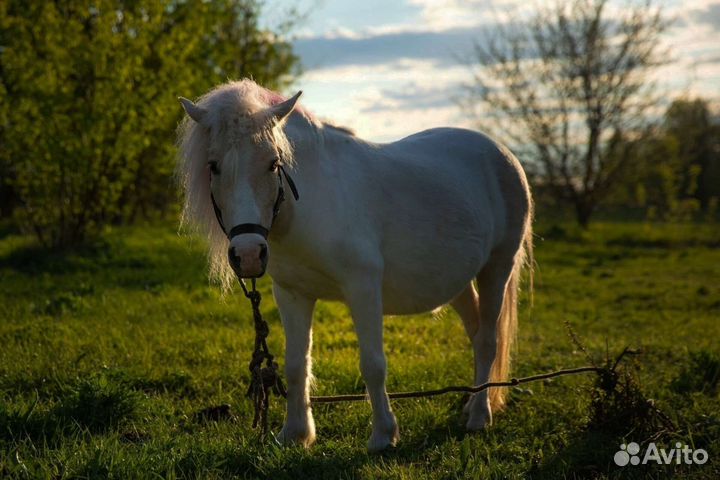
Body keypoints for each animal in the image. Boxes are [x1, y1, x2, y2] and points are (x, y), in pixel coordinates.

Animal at [176, 79, 533, 452]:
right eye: (213, 166)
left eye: (273, 163)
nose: (248, 254)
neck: (313, 203)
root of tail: (502, 153)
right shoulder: (291, 294)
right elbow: (295, 365)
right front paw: (295, 434)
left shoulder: (363, 288)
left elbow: (373, 364)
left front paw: (383, 435)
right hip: (458, 282)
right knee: (477, 336)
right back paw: (473, 404)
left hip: (498, 267)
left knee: (489, 340)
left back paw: (479, 416)